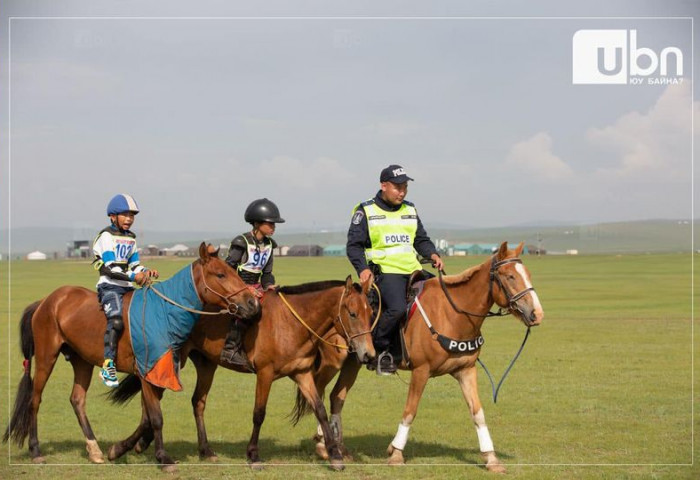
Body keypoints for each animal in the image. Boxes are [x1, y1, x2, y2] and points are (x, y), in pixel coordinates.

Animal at [3, 244, 260, 472]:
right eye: (220, 274)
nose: (252, 303)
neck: (165, 314)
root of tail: (46, 301)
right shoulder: (147, 373)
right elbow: (155, 418)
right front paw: (163, 458)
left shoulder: (159, 372)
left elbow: (147, 418)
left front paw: (120, 449)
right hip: (47, 356)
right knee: (35, 400)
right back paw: (36, 451)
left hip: (81, 361)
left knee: (77, 400)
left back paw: (94, 450)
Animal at [106, 276, 374, 470]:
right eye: (352, 313)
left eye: (370, 313)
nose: (368, 354)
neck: (291, 323)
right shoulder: (265, 374)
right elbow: (259, 414)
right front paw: (253, 455)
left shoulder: (302, 374)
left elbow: (319, 410)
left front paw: (335, 455)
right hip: (171, 361)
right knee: (150, 399)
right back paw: (127, 446)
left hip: (206, 364)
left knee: (195, 402)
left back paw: (200, 450)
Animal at [292, 242, 544, 470]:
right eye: (510, 276)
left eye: (528, 274)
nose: (537, 314)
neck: (452, 314)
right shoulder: (421, 371)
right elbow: (410, 411)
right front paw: (396, 453)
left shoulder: (466, 370)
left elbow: (477, 413)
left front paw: (491, 458)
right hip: (332, 362)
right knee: (318, 391)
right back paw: (324, 446)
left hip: (354, 363)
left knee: (336, 396)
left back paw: (339, 448)